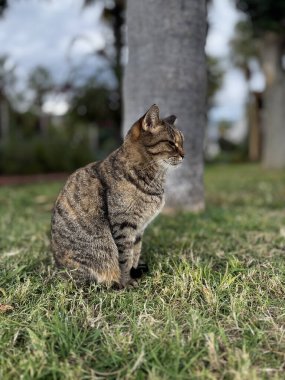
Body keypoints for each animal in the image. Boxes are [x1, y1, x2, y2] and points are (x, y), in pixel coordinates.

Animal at [50, 104, 184, 288]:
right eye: (171, 143)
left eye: (182, 142)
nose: (184, 154)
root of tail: (58, 270)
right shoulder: (124, 225)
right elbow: (125, 258)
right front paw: (127, 281)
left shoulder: (139, 228)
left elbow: (135, 253)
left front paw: (134, 273)